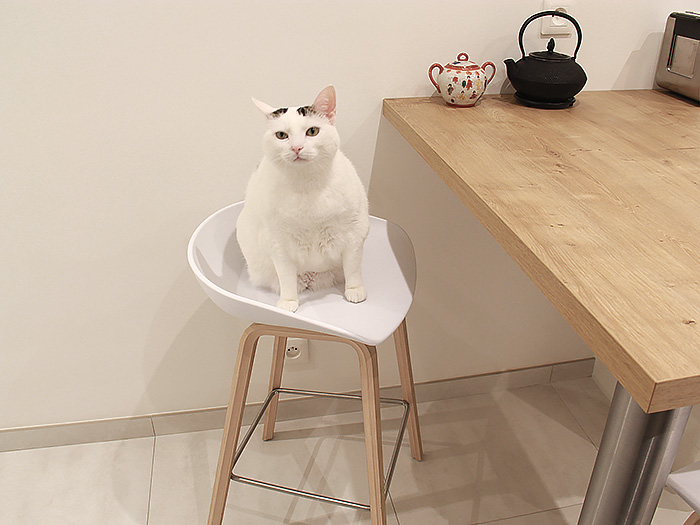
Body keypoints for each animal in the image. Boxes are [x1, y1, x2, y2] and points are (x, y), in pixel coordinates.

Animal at [235, 83, 370, 310]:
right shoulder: (278, 244)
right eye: (281, 135)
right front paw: (288, 302)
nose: (296, 147)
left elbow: (353, 267)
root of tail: (312, 276)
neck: (306, 186)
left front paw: (355, 290)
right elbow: (286, 277)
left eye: (312, 131)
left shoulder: (354, 233)